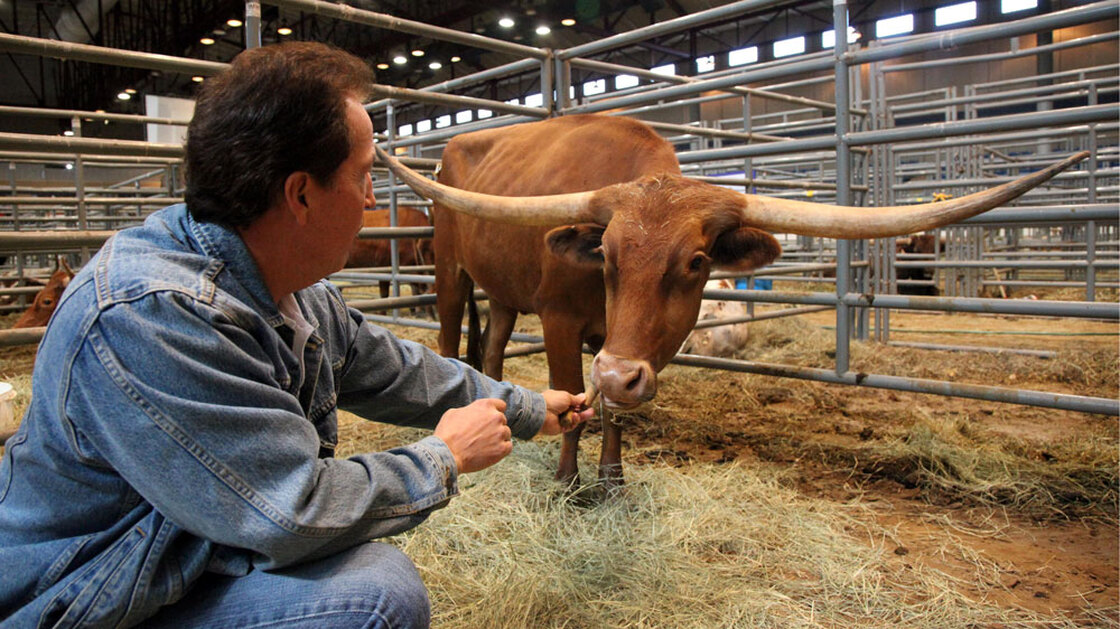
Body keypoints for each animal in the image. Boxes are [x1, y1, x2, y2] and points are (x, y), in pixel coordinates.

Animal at [374, 114, 1086, 491]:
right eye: (607, 255)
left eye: (695, 263)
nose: (619, 372)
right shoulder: (561, 321)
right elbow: (575, 402)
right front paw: (568, 482)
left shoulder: (619, 346)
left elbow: (614, 408)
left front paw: (612, 479)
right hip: (449, 272)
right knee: (449, 340)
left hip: (502, 291)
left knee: (491, 348)